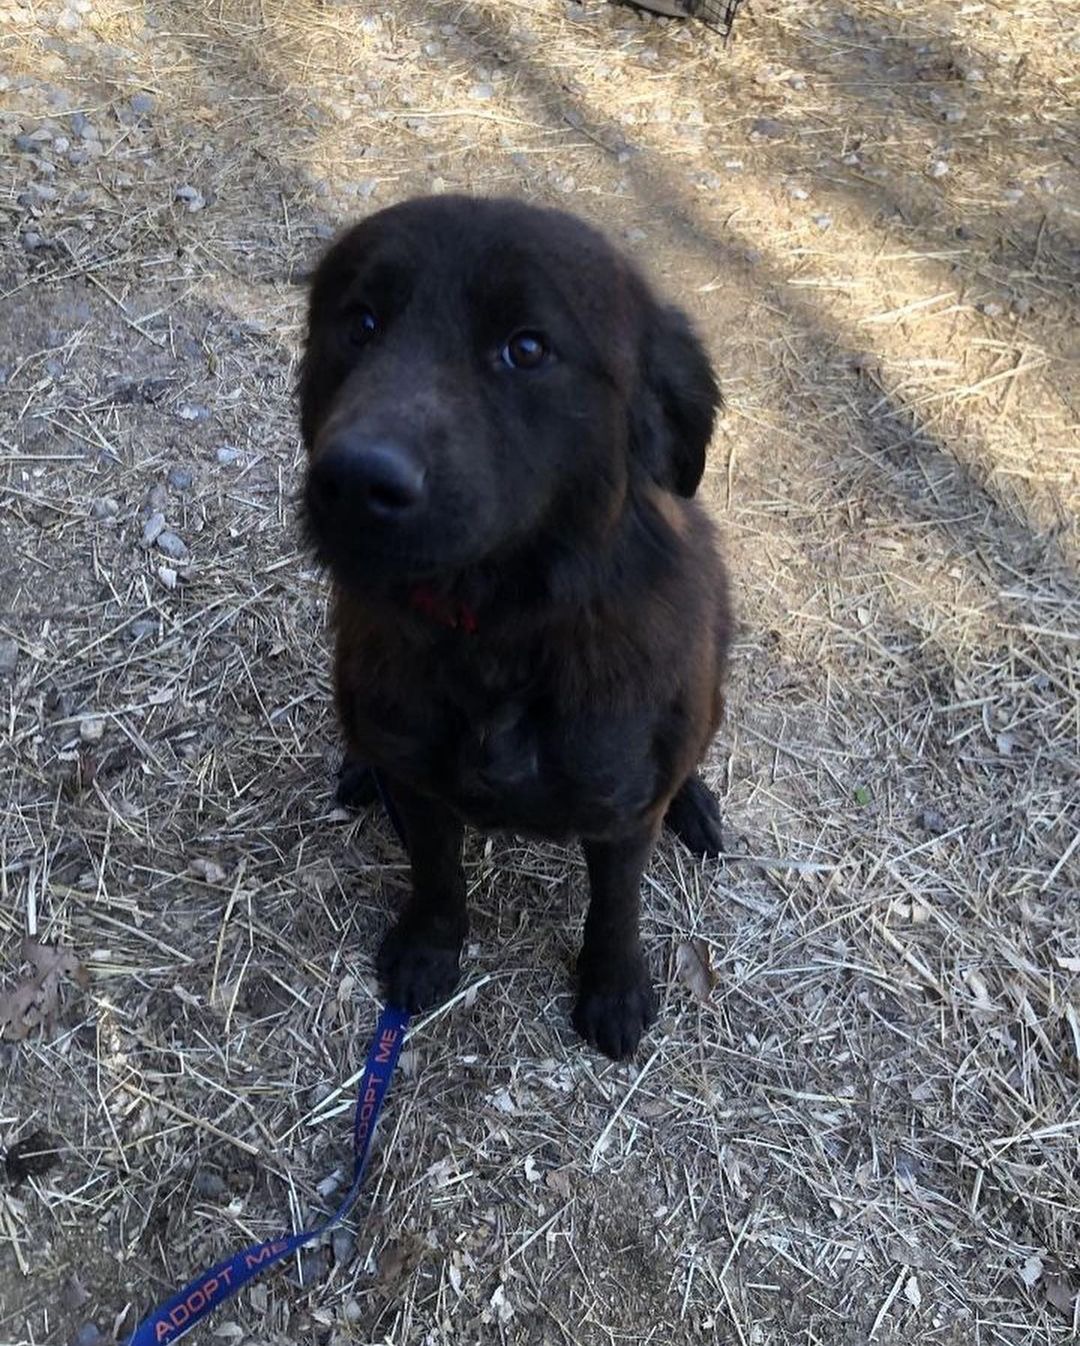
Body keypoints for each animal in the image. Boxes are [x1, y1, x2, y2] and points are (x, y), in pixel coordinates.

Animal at [298, 195, 727, 1060]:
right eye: (360, 323)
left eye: (527, 348)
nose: (354, 481)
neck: (499, 634)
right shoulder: (422, 789)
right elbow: (437, 876)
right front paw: (428, 947)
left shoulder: (622, 815)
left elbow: (616, 906)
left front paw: (613, 987)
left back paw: (695, 803)